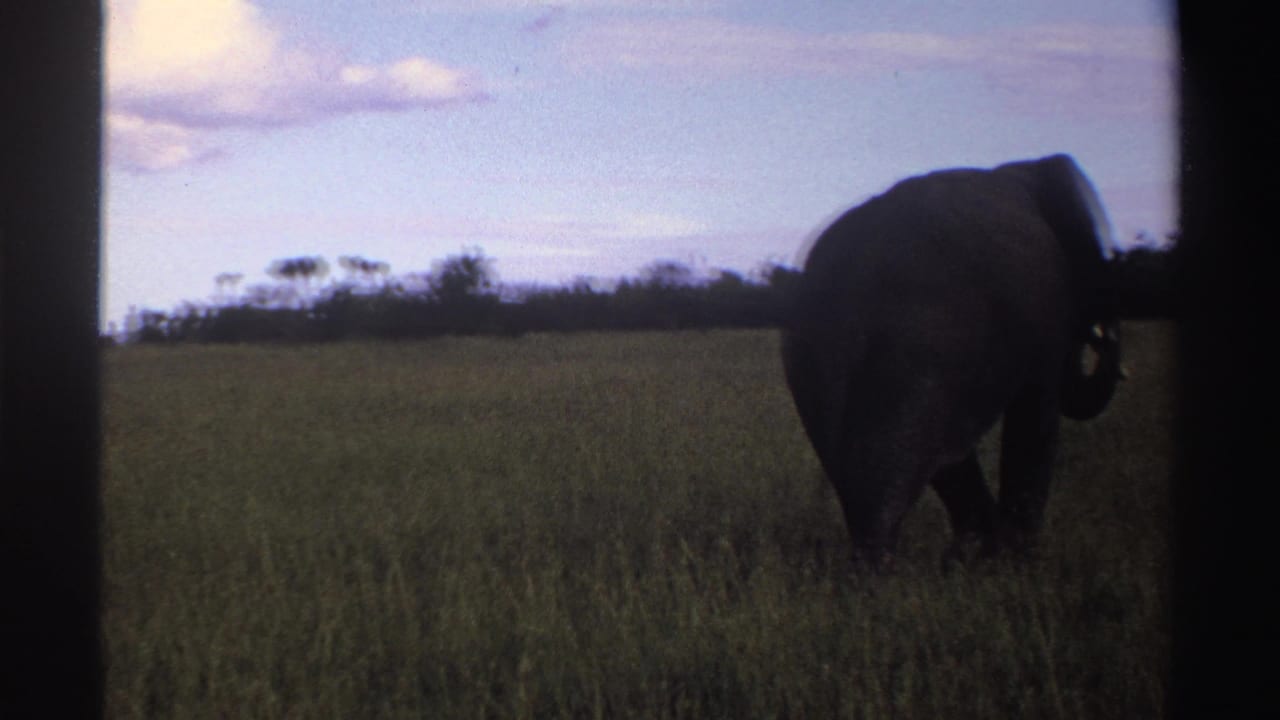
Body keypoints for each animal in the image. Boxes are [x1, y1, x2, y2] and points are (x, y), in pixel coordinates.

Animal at [781, 154, 1124, 569]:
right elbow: (1036, 416)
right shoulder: (1046, 313)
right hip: (918, 356)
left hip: (815, 364)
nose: (1104, 339)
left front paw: (988, 558)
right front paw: (1018, 563)